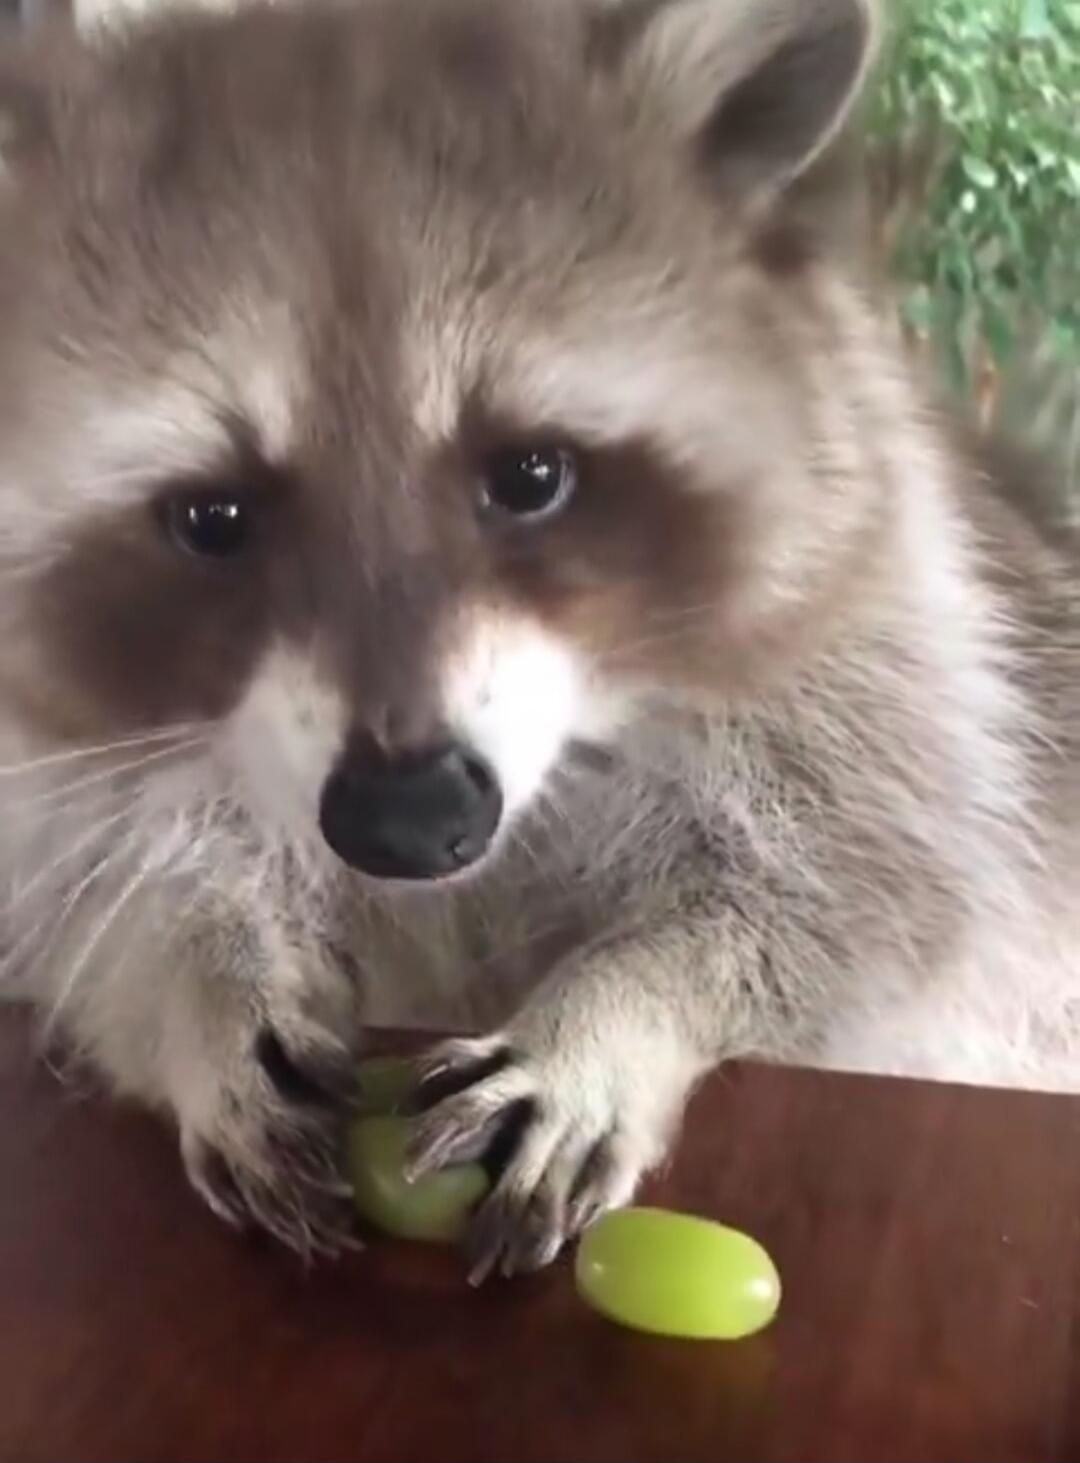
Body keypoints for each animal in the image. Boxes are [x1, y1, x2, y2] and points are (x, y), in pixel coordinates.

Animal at [1, 0, 1078, 1276]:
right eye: (214, 516)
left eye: (530, 474)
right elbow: (85, 900)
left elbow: (862, 891)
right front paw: (200, 981)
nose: (409, 817)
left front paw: (622, 1002)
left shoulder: (899, 650)